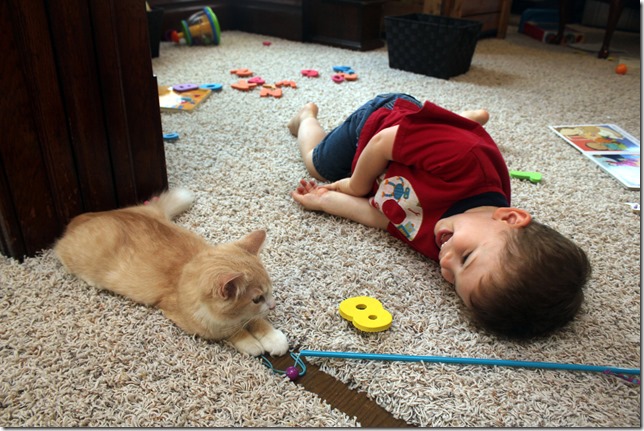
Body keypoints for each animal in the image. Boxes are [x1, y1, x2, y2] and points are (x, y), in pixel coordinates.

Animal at [54, 188, 289, 357]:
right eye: (257, 299)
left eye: (269, 292)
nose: (273, 305)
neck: (184, 272)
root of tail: (80, 219)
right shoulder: (200, 324)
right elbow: (232, 331)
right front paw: (250, 342)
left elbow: (257, 320)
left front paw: (272, 337)